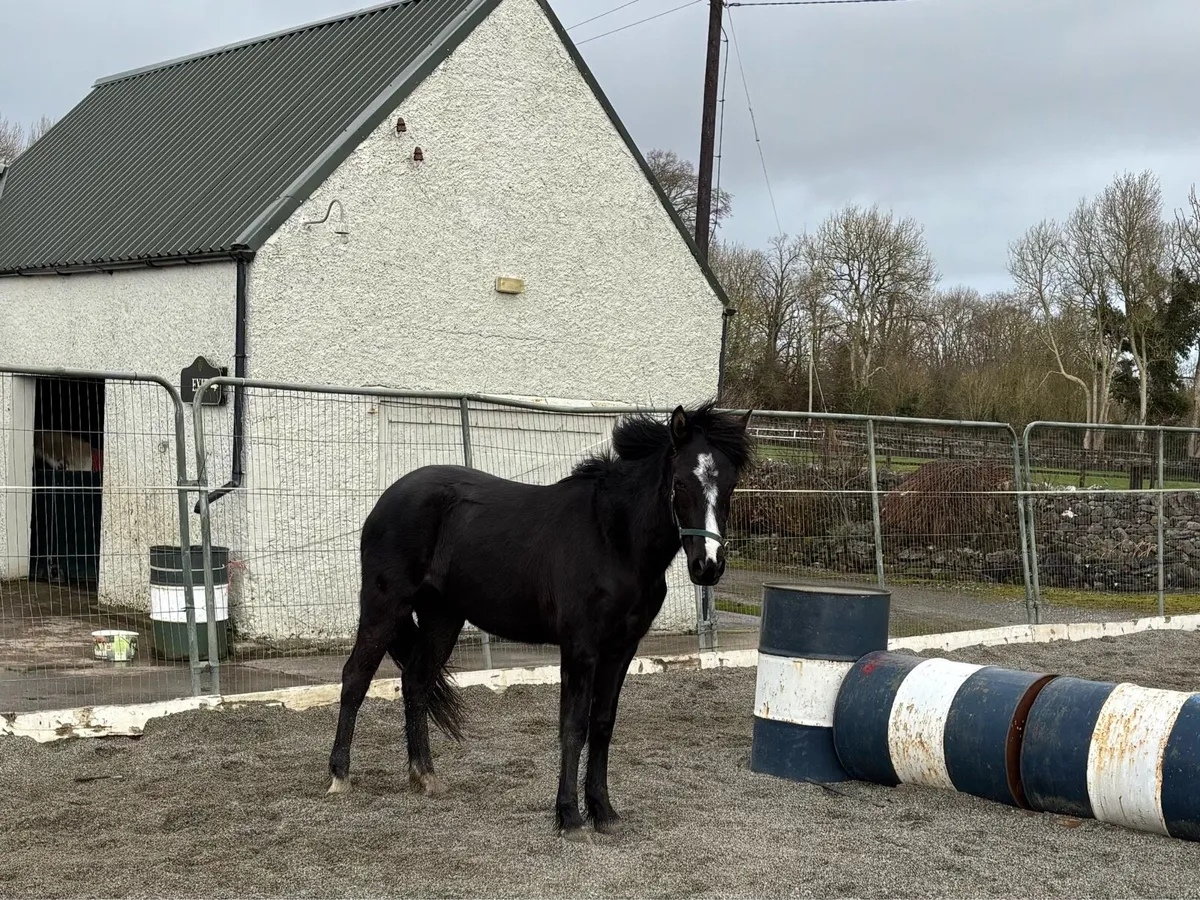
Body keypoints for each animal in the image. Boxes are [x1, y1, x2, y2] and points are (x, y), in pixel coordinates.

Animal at [326, 401, 754, 839]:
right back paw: (339, 776)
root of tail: (388, 499)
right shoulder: (580, 646)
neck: (612, 538)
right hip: (384, 606)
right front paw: (569, 816)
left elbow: (602, 724)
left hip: (441, 617)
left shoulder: (622, 648)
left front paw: (603, 811)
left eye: (731, 485)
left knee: (416, 682)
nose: (708, 566)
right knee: (355, 678)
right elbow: (573, 725)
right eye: (681, 482)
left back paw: (425, 776)